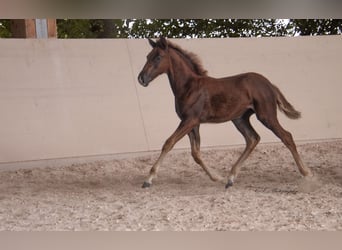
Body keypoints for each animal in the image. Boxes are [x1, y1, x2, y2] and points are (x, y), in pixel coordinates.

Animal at [137, 36, 312, 189]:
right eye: (147, 56)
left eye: (158, 57)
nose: (141, 78)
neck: (189, 86)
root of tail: (269, 84)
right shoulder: (192, 123)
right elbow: (195, 153)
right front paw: (217, 177)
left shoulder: (190, 120)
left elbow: (169, 143)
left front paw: (148, 179)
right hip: (240, 119)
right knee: (253, 139)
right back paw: (230, 178)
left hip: (266, 115)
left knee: (286, 136)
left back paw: (307, 173)